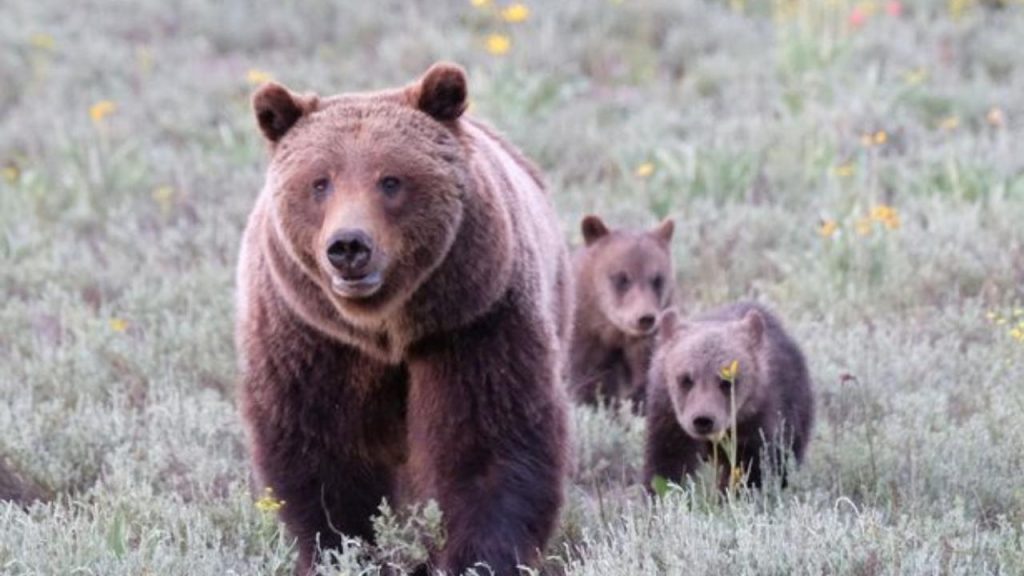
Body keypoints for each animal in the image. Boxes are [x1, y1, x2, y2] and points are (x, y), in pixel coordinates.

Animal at [238, 62, 573, 573]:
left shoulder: (474, 322)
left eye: (390, 180)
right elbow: (322, 449)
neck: (385, 329)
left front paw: (482, 557)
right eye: (320, 182)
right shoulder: (311, 337)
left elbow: (489, 439)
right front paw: (342, 548)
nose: (348, 246)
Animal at [643, 301, 811, 487]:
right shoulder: (668, 418)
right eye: (686, 379)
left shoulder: (755, 421)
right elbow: (666, 464)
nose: (703, 420)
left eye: (726, 382)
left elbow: (752, 467)